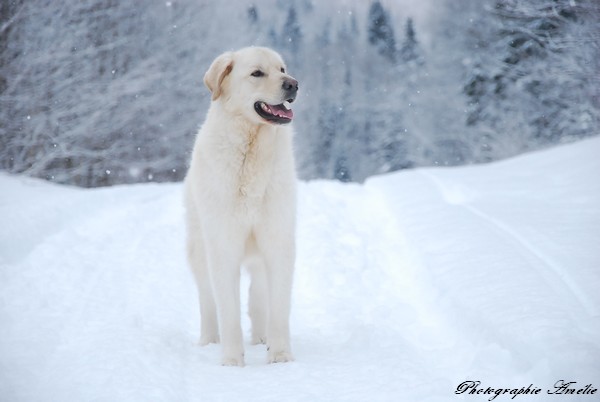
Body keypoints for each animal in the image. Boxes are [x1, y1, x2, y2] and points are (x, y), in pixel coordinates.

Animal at [182, 45, 296, 366]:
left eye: (282, 70)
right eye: (257, 73)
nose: (293, 84)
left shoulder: (278, 241)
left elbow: (278, 307)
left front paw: (280, 355)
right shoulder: (223, 245)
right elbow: (228, 310)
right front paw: (232, 360)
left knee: (258, 296)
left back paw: (261, 338)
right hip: (200, 249)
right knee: (208, 300)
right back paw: (209, 340)